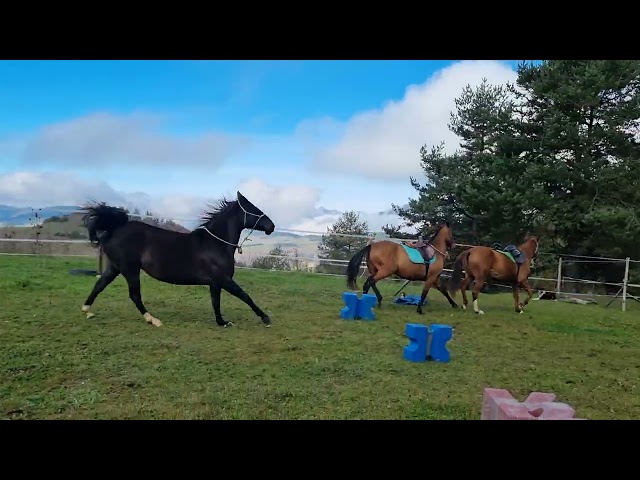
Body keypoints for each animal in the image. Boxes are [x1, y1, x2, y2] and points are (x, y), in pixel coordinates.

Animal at [79, 191, 276, 328]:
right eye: (253, 209)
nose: (271, 226)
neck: (214, 244)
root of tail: (114, 229)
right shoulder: (224, 280)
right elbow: (244, 296)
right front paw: (265, 318)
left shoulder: (215, 283)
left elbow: (216, 302)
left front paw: (222, 322)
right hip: (130, 269)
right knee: (134, 295)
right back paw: (153, 320)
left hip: (115, 267)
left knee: (100, 284)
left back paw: (87, 311)